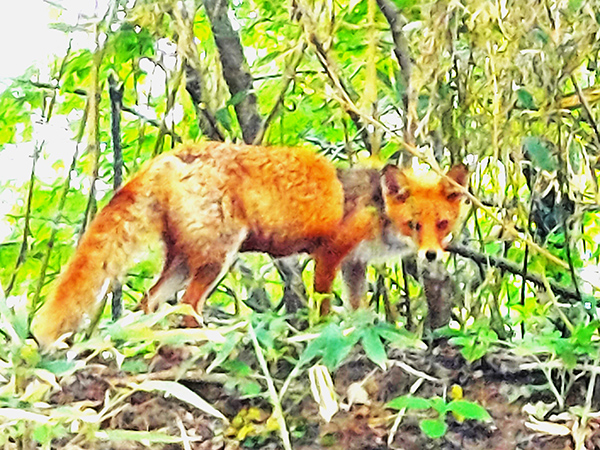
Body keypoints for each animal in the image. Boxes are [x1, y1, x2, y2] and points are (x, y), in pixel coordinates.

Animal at [29, 141, 468, 348]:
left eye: (442, 224)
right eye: (414, 224)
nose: (431, 254)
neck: (374, 206)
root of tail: (174, 153)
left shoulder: (353, 264)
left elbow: (358, 310)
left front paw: (363, 332)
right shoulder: (328, 254)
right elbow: (324, 308)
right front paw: (321, 334)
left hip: (183, 262)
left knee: (148, 302)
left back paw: (151, 339)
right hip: (217, 258)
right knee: (188, 306)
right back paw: (207, 338)